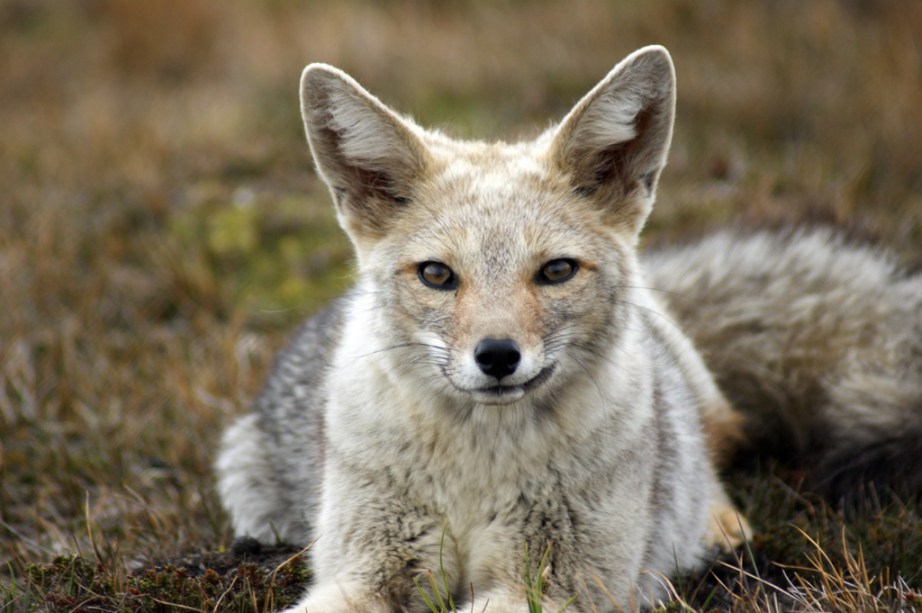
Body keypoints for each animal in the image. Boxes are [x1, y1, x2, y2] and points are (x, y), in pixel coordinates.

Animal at [217, 44, 920, 612]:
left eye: (555, 271)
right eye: (438, 275)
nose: (497, 356)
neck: (477, 476)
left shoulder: (555, 585)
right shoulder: (360, 574)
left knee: (717, 453)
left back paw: (714, 529)